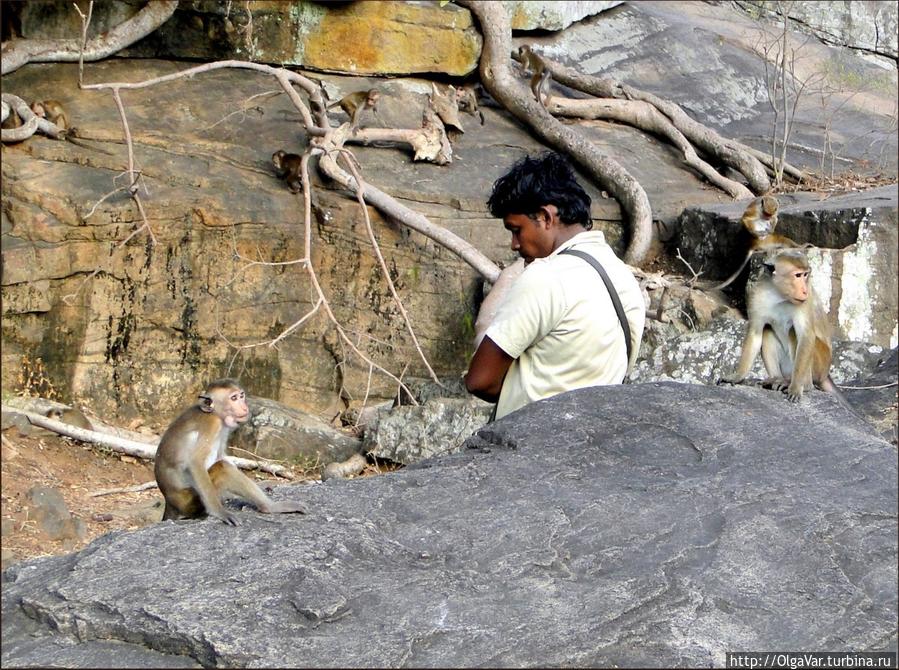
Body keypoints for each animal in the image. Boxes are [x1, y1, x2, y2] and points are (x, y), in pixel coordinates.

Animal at [155, 380, 306, 528]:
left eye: (241, 396)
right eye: (233, 398)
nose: (244, 407)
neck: (215, 414)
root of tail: (170, 502)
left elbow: (220, 455)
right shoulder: (212, 425)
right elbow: (196, 463)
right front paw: (219, 512)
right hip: (188, 500)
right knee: (223, 468)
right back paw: (268, 507)